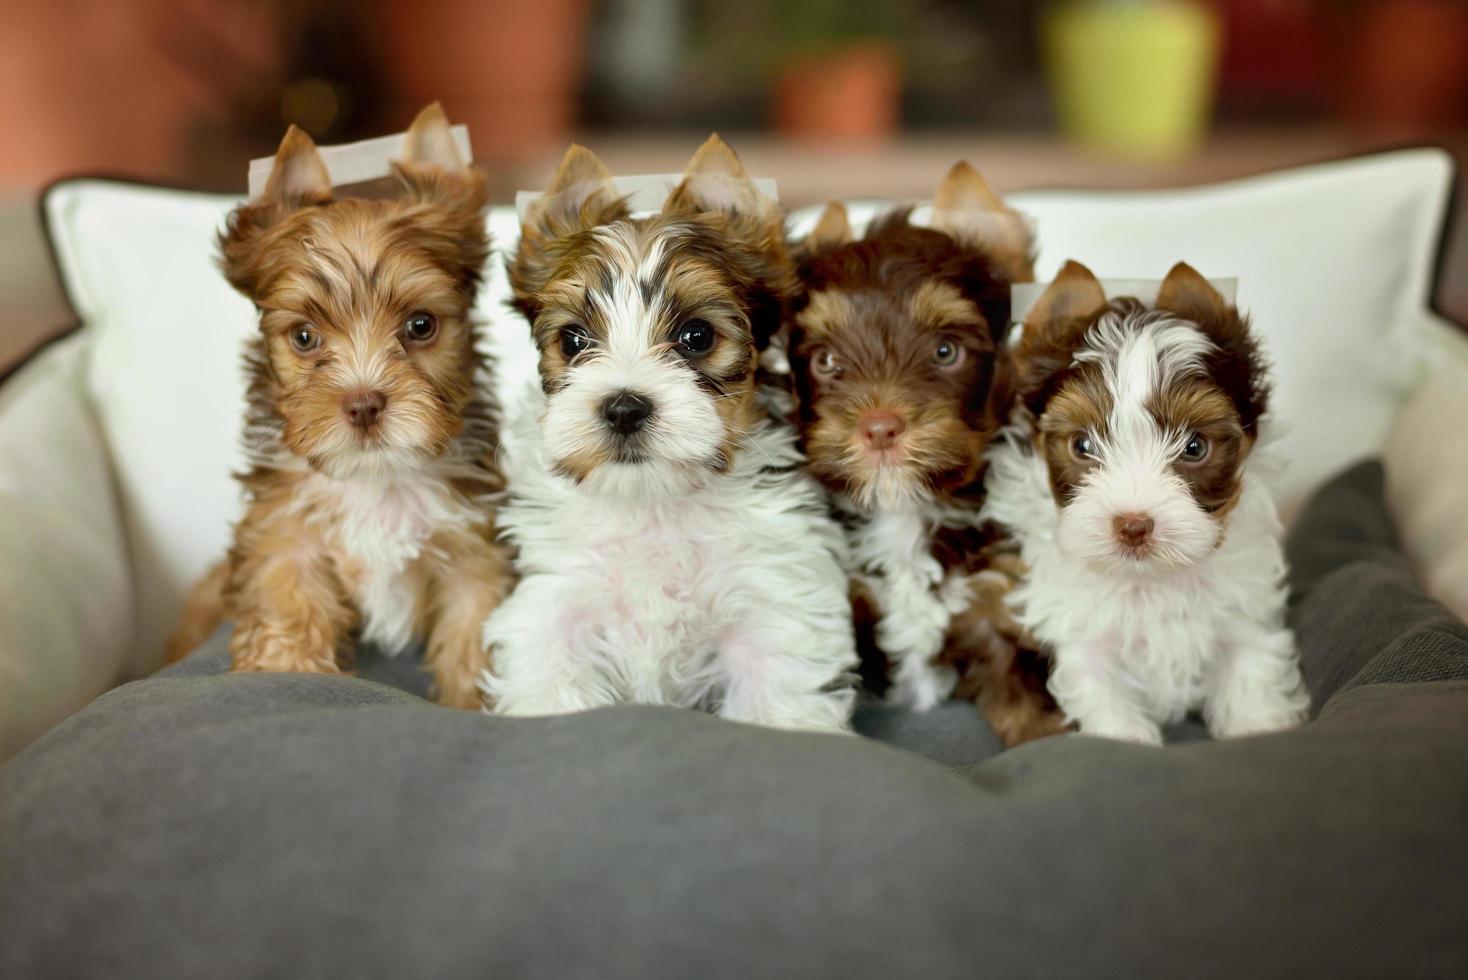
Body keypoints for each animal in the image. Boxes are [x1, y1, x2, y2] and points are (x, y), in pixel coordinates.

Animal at [168, 103, 516, 707]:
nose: (363, 404)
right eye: (304, 337)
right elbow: (287, 603)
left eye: (420, 326)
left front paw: (475, 700)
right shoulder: (284, 534)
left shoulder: (473, 551)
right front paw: (287, 668)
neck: (376, 479)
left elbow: (473, 632)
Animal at [478, 134, 857, 730]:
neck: (653, 504)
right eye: (574, 340)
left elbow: (778, 694)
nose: (624, 408)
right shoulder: (554, 602)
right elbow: (551, 674)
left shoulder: (772, 604)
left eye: (696, 336)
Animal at [786, 162, 1062, 742]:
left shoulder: (999, 604)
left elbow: (1026, 699)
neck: (903, 509)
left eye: (945, 351)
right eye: (825, 361)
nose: (879, 428)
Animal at [986, 259, 1309, 742]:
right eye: (1082, 445)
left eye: (1194, 447)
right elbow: (1106, 704)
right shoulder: (1083, 640)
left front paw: (1258, 727)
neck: (1150, 580)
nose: (1133, 525)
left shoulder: (1244, 613)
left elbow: (1250, 669)